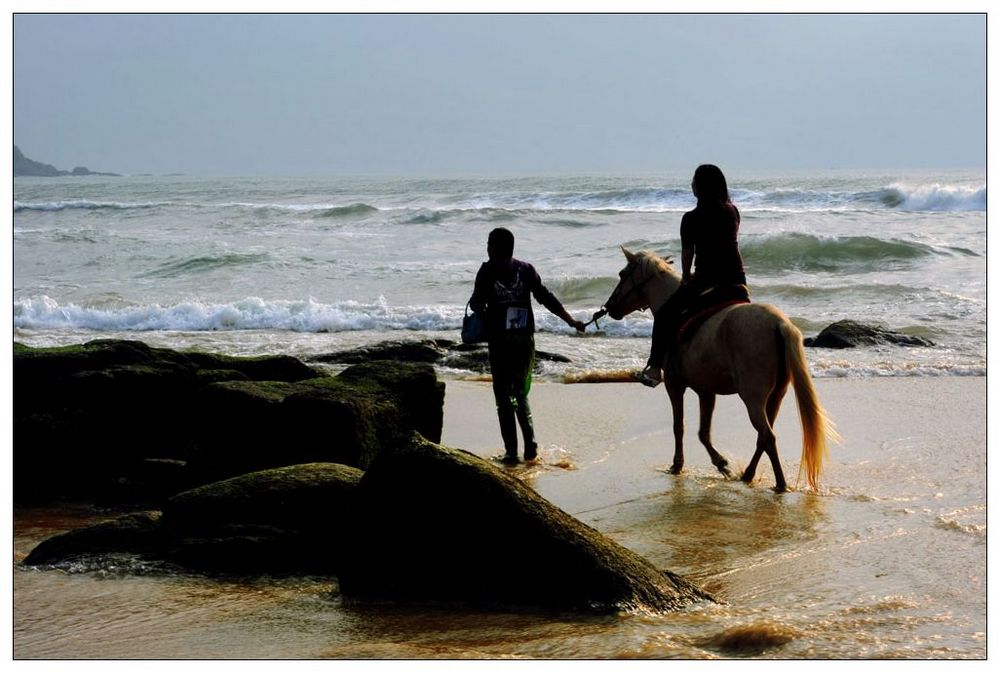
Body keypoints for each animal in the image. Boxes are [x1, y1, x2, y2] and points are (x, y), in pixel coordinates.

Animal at [600, 249, 836, 490]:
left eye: (622, 274)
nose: (609, 307)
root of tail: (779, 323)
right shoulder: (706, 391)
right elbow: (703, 433)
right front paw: (721, 463)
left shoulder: (675, 385)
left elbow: (679, 426)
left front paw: (678, 465)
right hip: (776, 396)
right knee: (763, 436)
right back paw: (749, 474)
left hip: (752, 396)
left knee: (767, 436)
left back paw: (779, 483)